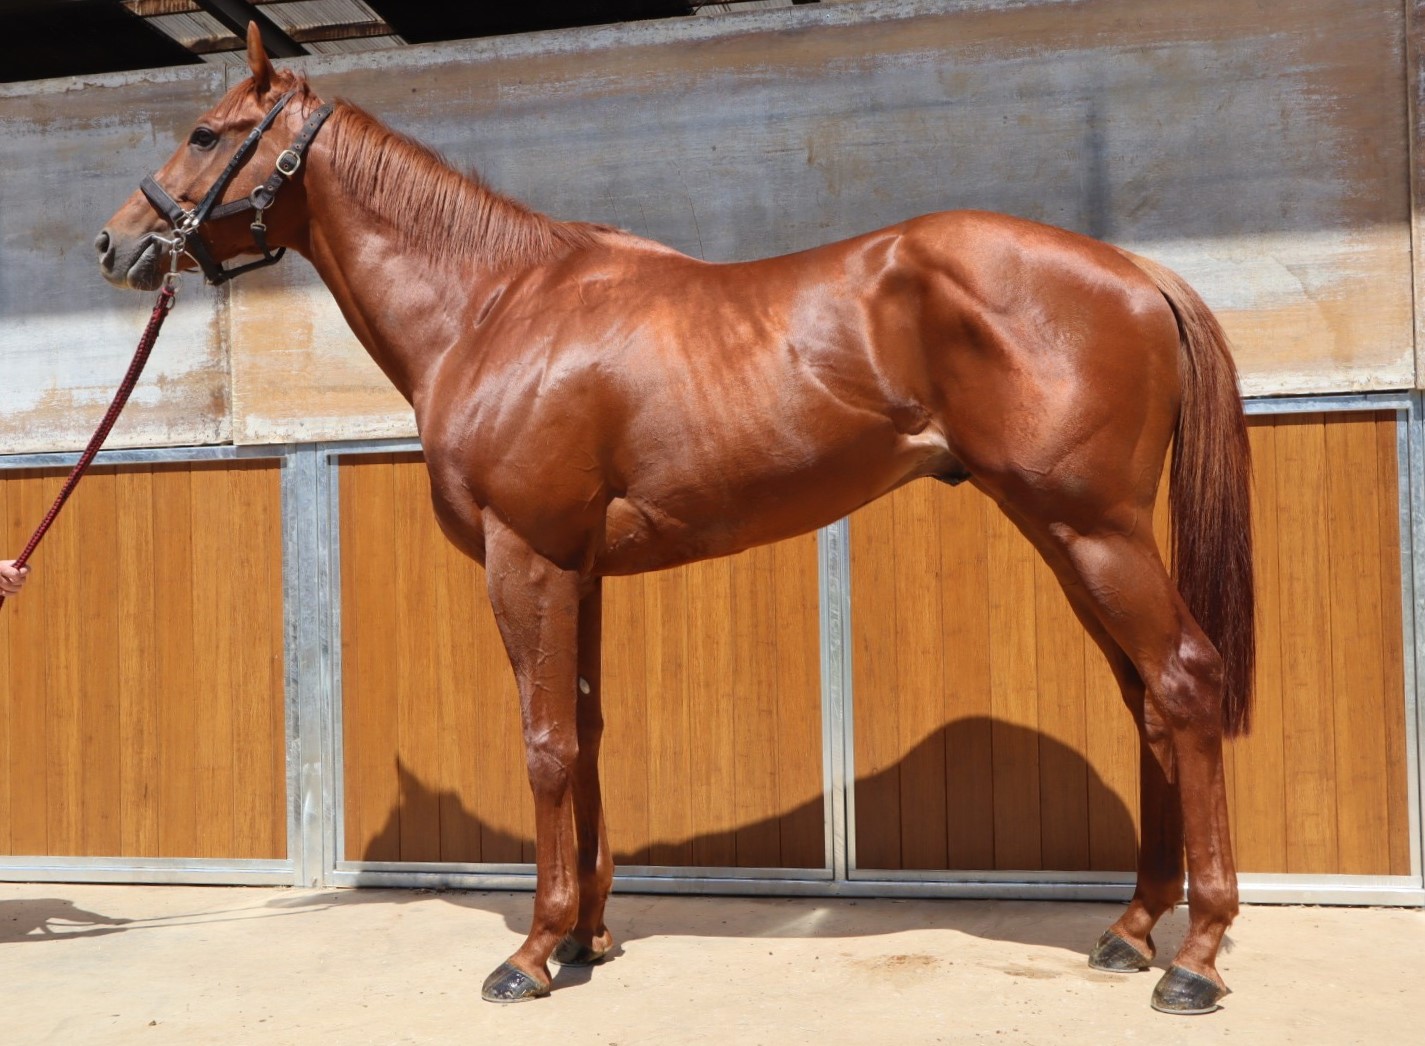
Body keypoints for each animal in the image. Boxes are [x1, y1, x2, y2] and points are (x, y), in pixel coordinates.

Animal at [96, 24, 1254, 1015]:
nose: (117, 243)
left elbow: (546, 744)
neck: (495, 307)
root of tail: (1135, 270)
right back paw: (1133, 928)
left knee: (1185, 680)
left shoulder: (525, 557)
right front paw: (584, 936)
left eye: (205, 133)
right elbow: (588, 734)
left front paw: (529, 952)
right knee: (1147, 703)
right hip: (1067, 536)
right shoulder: (579, 566)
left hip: (1093, 529)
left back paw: (1194, 958)